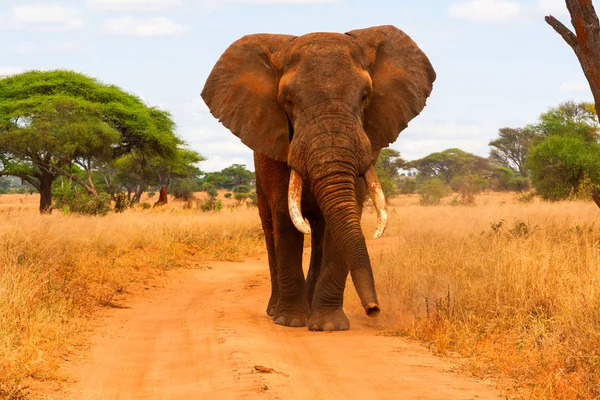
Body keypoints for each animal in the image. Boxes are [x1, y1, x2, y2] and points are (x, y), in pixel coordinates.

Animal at [202, 25, 436, 332]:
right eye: (288, 100)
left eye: (365, 96)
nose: (373, 309)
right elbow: (284, 216)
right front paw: (290, 321)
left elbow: (349, 212)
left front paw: (328, 326)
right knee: (270, 226)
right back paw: (274, 309)